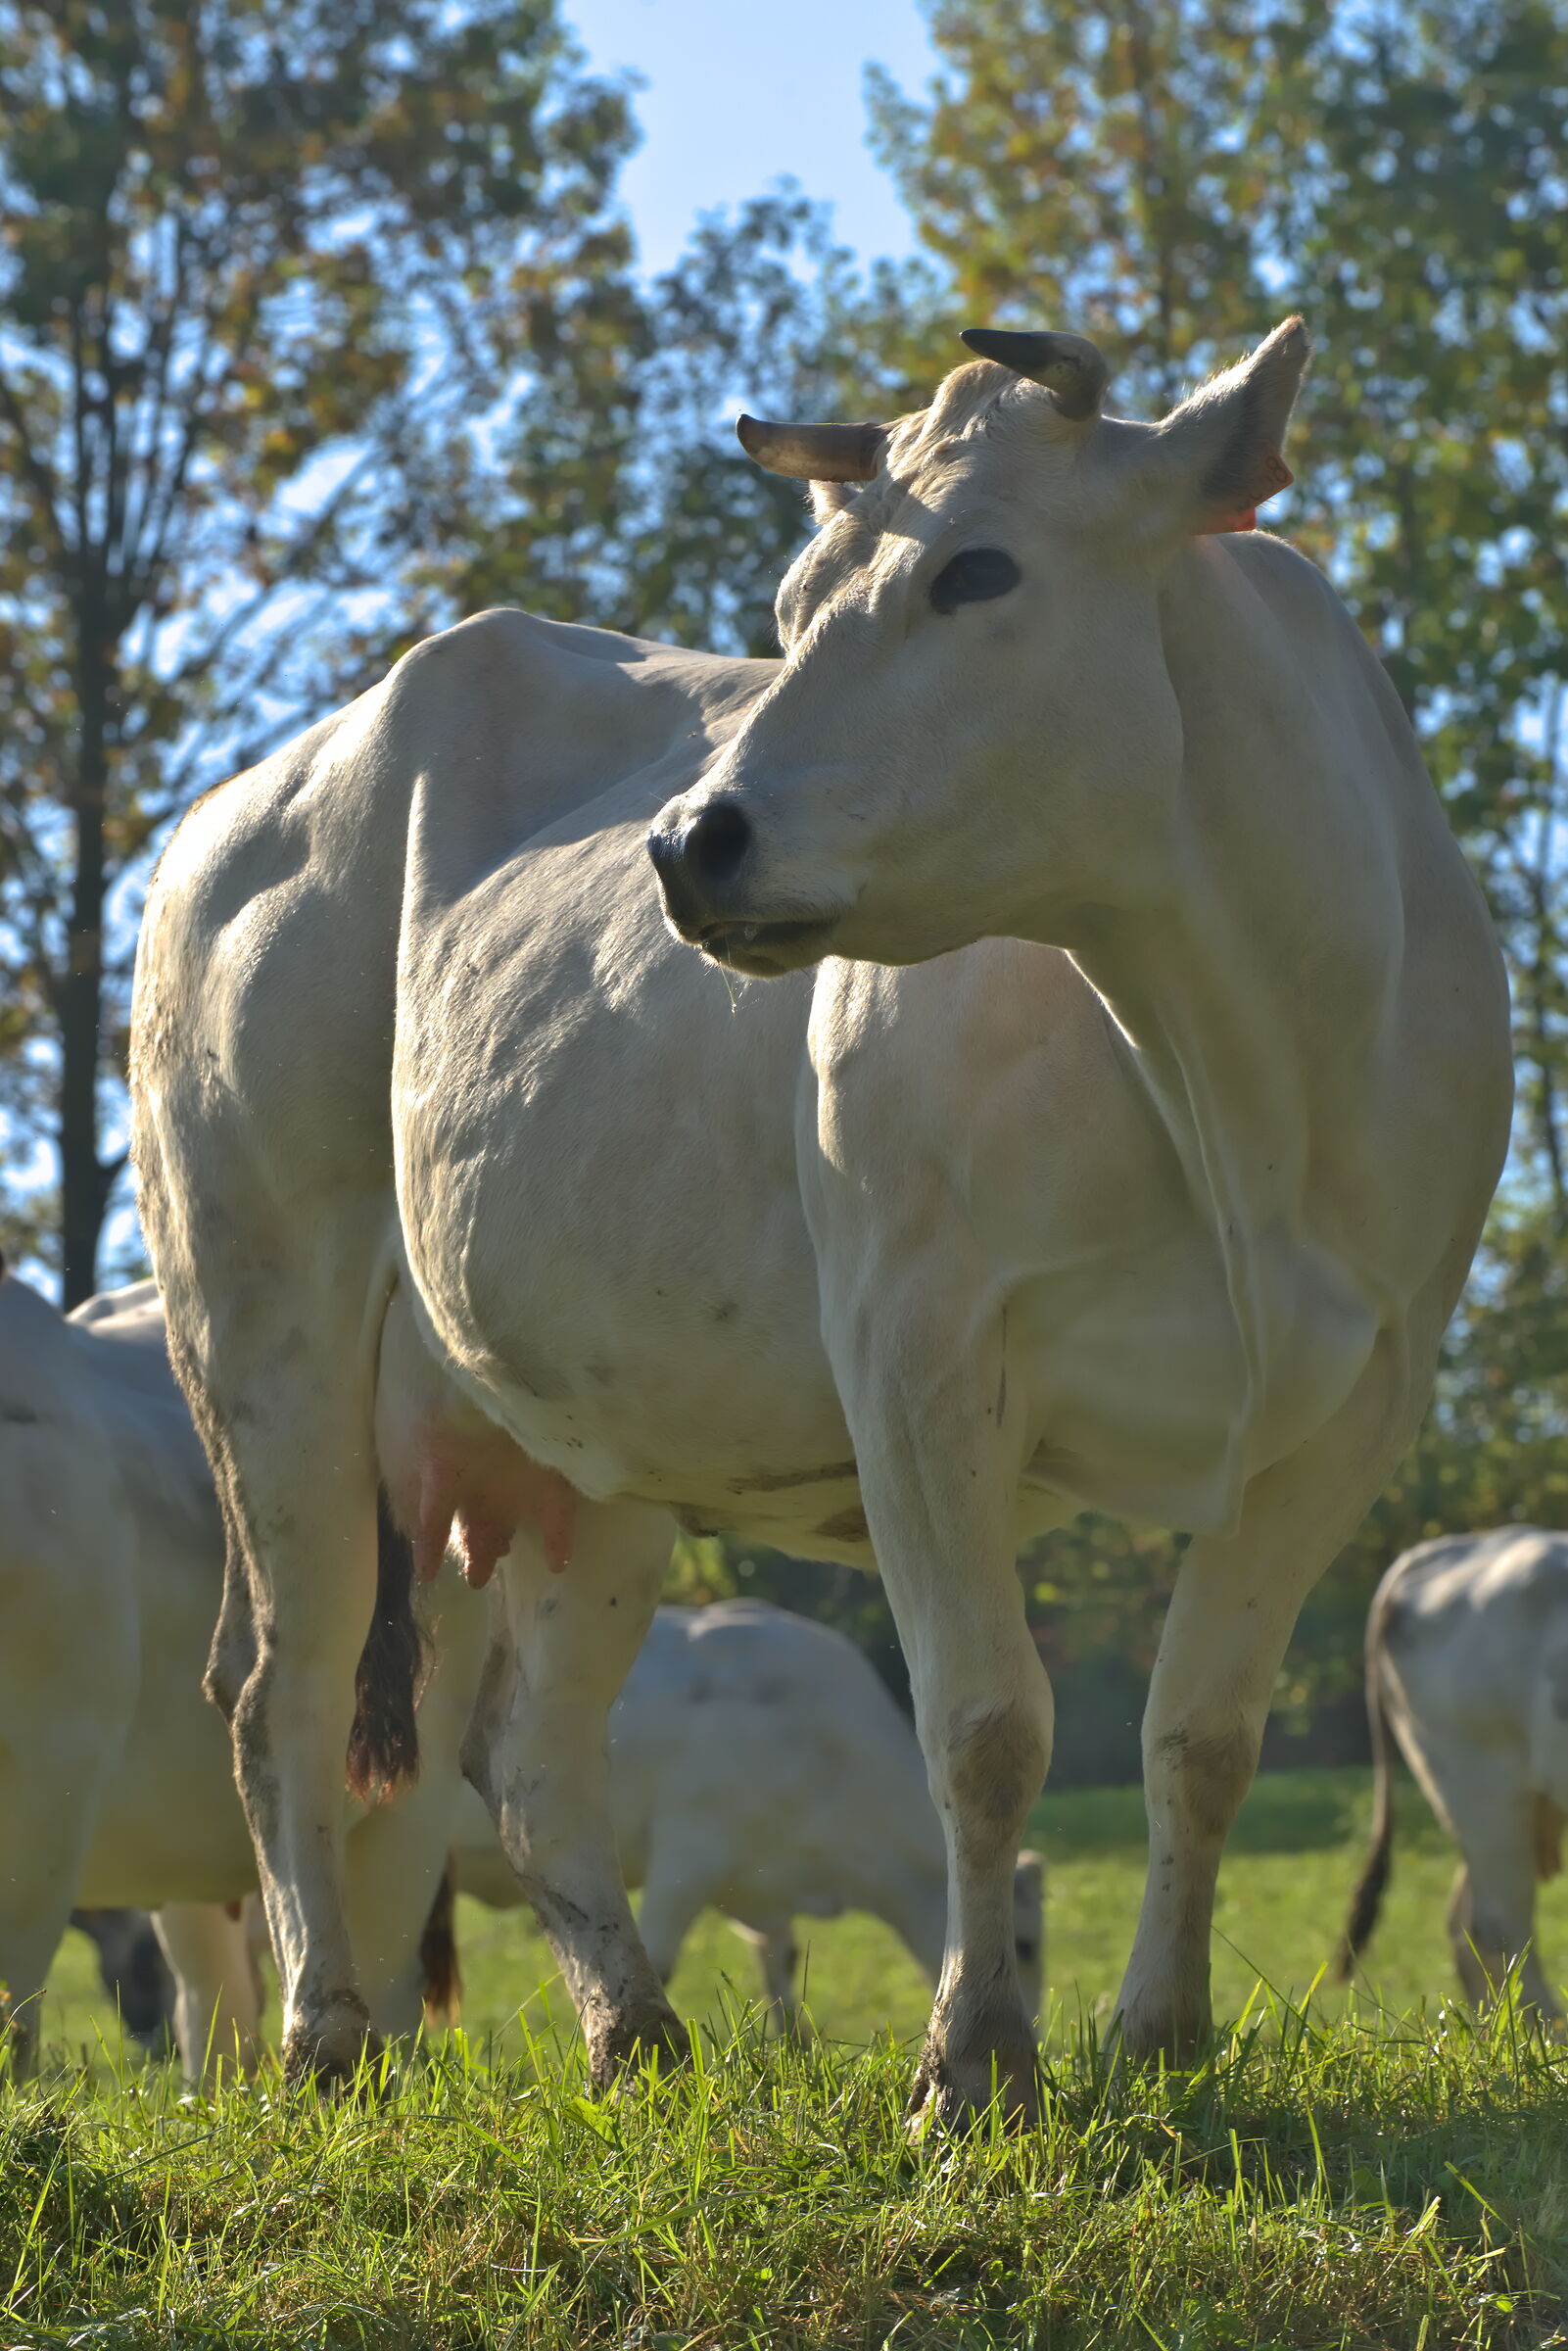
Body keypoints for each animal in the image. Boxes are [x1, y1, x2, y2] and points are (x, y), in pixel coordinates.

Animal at [452, 1598, 1046, 2030]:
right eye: (1025, 1945)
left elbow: (779, 1975)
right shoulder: (690, 1854)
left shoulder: (764, 1884)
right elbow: (655, 1964)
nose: (1036, 2038)